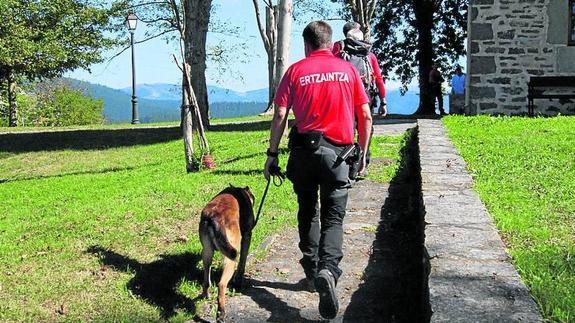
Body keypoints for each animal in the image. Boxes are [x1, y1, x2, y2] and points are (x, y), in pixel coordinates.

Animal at [200, 186, 254, 322]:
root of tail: (214, 217)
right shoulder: (247, 236)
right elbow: (242, 262)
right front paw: (239, 281)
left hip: (207, 252)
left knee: (206, 280)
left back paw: (205, 295)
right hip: (230, 260)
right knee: (221, 284)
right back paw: (221, 313)